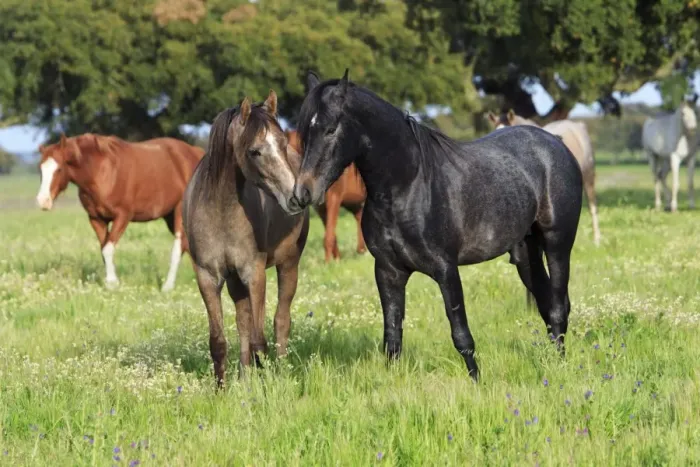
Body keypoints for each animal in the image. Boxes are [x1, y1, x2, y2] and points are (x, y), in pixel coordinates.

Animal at [35, 133, 204, 291]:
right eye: (41, 169)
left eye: (59, 169)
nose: (43, 201)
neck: (102, 172)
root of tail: (196, 153)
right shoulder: (96, 219)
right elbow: (104, 249)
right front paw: (112, 281)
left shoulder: (123, 216)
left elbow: (108, 249)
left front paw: (112, 283)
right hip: (170, 216)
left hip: (179, 212)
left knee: (178, 247)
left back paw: (168, 286)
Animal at [182, 90, 309, 387]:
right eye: (254, 151)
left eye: (283, 143)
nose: (297, 198)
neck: (220, 210)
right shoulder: (208, 277)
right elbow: (219, 341)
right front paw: (221, 389)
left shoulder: (254, 272)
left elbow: (259, 340)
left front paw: (265, 386)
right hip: (234, 281)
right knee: (243, 321)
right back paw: (244, 376)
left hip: (288, 265)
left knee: (280, 321)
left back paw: (280, 371)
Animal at [286, 129, 366, 262]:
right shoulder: (319, 207)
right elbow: (331, 233)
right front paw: (336, 260)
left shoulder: (334, 199)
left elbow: (329, 235)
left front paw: (328, 262)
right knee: (359, 217)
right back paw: (362, 251)